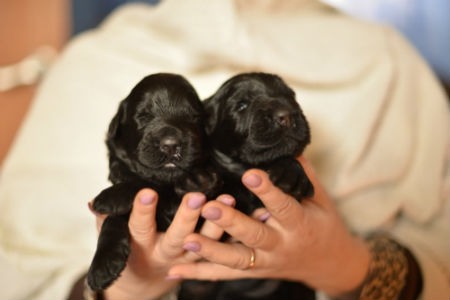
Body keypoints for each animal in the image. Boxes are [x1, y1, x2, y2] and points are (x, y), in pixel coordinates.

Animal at [87, 72, 221, 290]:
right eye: (143, 116)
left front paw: (111, 197)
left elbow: (152, 185)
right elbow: (114, 218)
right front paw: (103, 266)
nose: (171, 145)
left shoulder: (207, 183)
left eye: (193, 118)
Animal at [179, 72, 316, 300]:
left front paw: (291, 172)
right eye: (242, 105)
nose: (286, 115)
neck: (241, 169)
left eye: (290, 96)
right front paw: (199, 177)